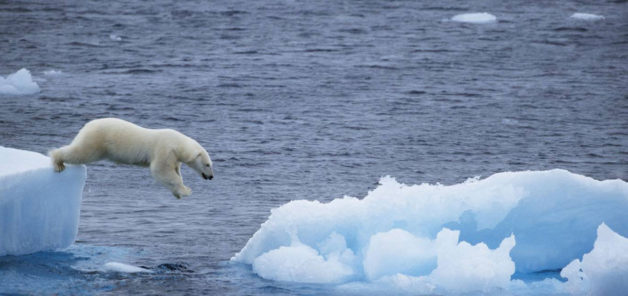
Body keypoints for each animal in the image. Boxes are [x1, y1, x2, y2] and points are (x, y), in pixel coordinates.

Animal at [48, 118, 213, 199]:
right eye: (207, 164)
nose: (211, 177)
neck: (178, 144)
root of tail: (87, 125)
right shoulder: (164, 150)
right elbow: (160, 170)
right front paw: (186, 190)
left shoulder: (174, 157)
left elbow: (173, 172)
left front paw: (178, 193)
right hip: (97, 140)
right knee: (80, 152)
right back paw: (58, 162)